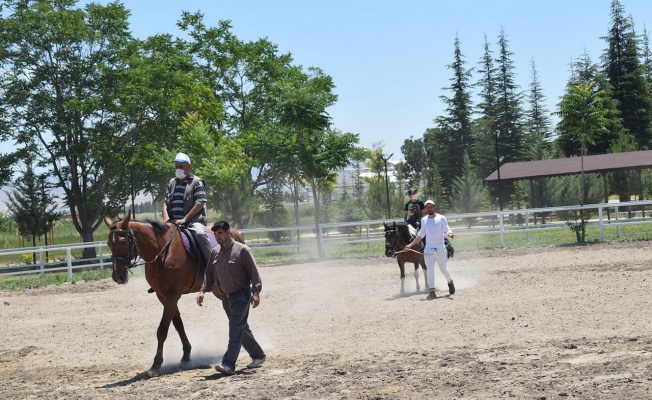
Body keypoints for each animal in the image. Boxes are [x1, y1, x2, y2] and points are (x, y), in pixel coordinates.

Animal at [103, 211, 246, 376]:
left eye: (122, 242)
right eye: (108, 243)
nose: (117, 277)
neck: (162, 253)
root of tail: (235, 233)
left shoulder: (173, 294)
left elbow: (162, 330)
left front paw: (156, 365)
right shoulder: (163, 296)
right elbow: (178, 324)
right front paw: (186, 355)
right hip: (218, 290)